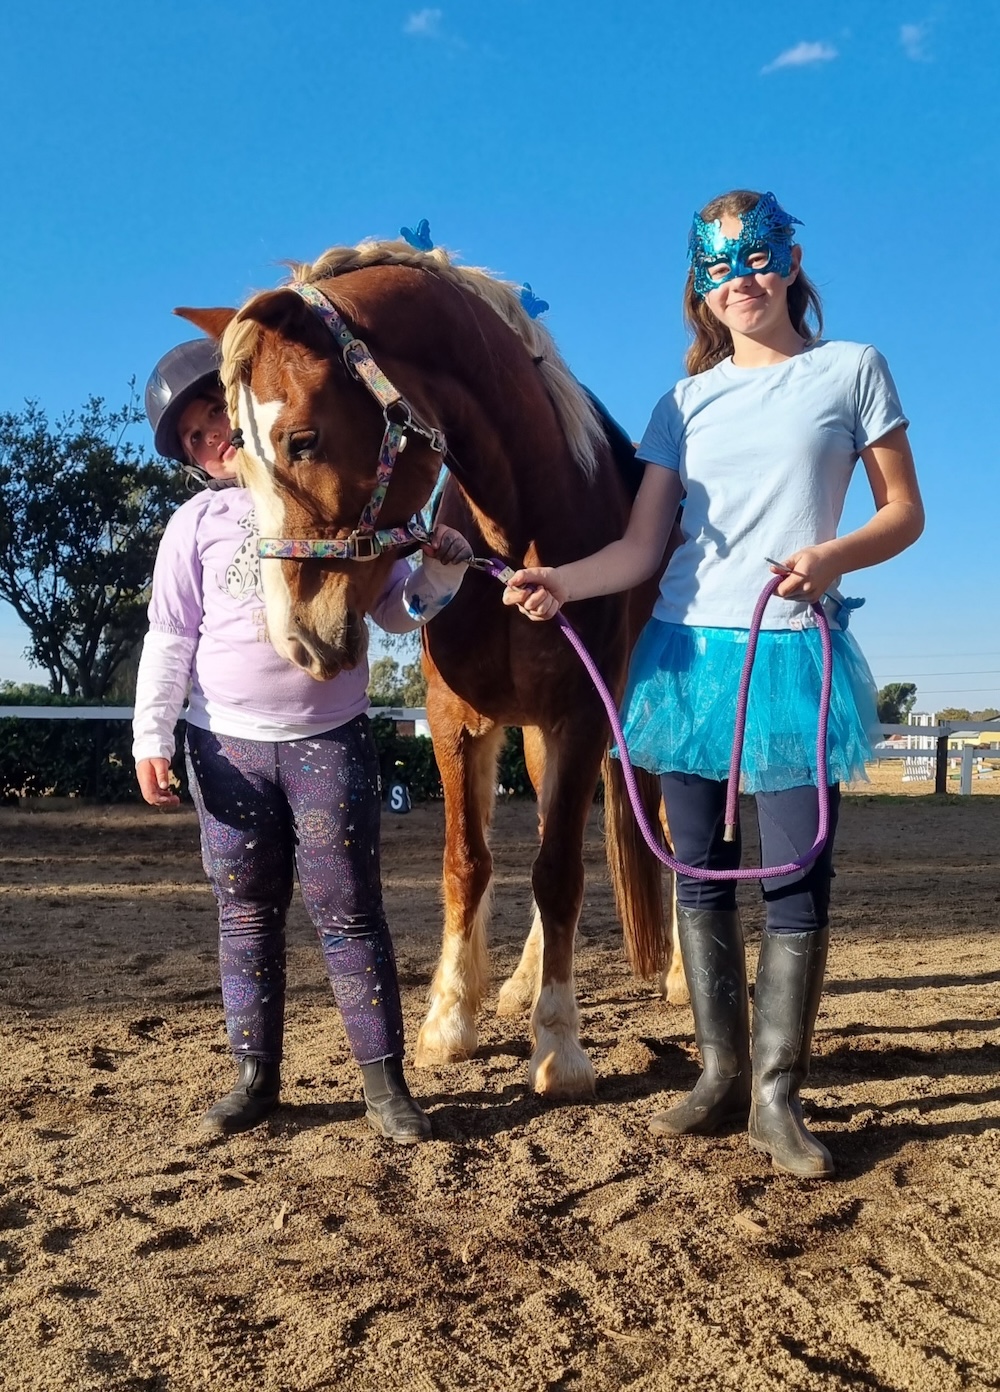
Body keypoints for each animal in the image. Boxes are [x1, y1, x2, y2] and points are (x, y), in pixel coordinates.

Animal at [179, 239, 687, 1100]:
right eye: (239, 449)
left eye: (303, 439)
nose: (297, 640)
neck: (520, 533)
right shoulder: (460, 723)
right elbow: (468, 864)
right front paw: (451, 1020)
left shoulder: (581, 717)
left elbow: (556, 872)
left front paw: (560, 1047)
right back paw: (520, 983)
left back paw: (681, 976)